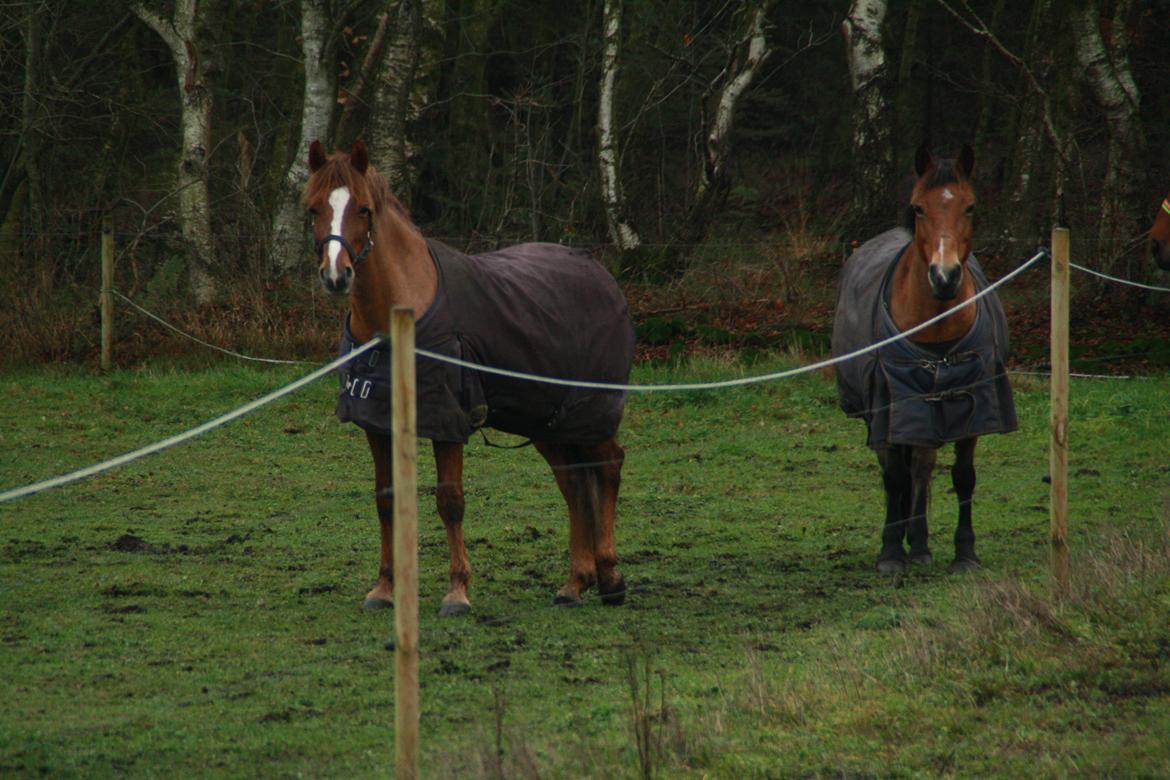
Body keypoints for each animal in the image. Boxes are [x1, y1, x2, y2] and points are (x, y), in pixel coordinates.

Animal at [303, 139, 635, 615]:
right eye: (313, 208)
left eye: (363, 209)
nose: (336, 276)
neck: (400, 320)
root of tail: (602, 276)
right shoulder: (377, 424)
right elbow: (386, 501)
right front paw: (384, 588)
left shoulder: (447, 423)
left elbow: (450, 501)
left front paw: (457, 592)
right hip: (547, 422)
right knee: (573, 483)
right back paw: (575, 583)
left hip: (590, 413)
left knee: (607, 466)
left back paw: (610, 578)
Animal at [831, 144, 1018, 575]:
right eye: (918, 207)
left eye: (970, 206)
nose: (944, 277)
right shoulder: (890, 402)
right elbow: (894, 477)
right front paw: (890, 553)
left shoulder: (973, 403)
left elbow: (963, 476)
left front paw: (964, 553)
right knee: (895, 468)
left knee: (922, 465)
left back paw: (918, 542)